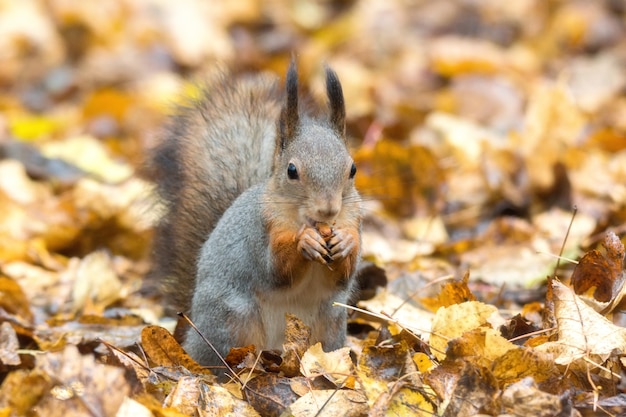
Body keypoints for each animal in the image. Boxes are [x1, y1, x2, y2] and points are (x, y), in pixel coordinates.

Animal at [149, 60, 360, 366]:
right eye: (292, 170)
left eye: (352, 169)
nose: (329, 209)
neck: (307, 220)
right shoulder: (260, 231)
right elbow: (276, 270)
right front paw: (304, 242)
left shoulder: (354, 219)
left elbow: (343, 274)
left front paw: (346, 242)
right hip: (233, 321)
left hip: (330, 323)